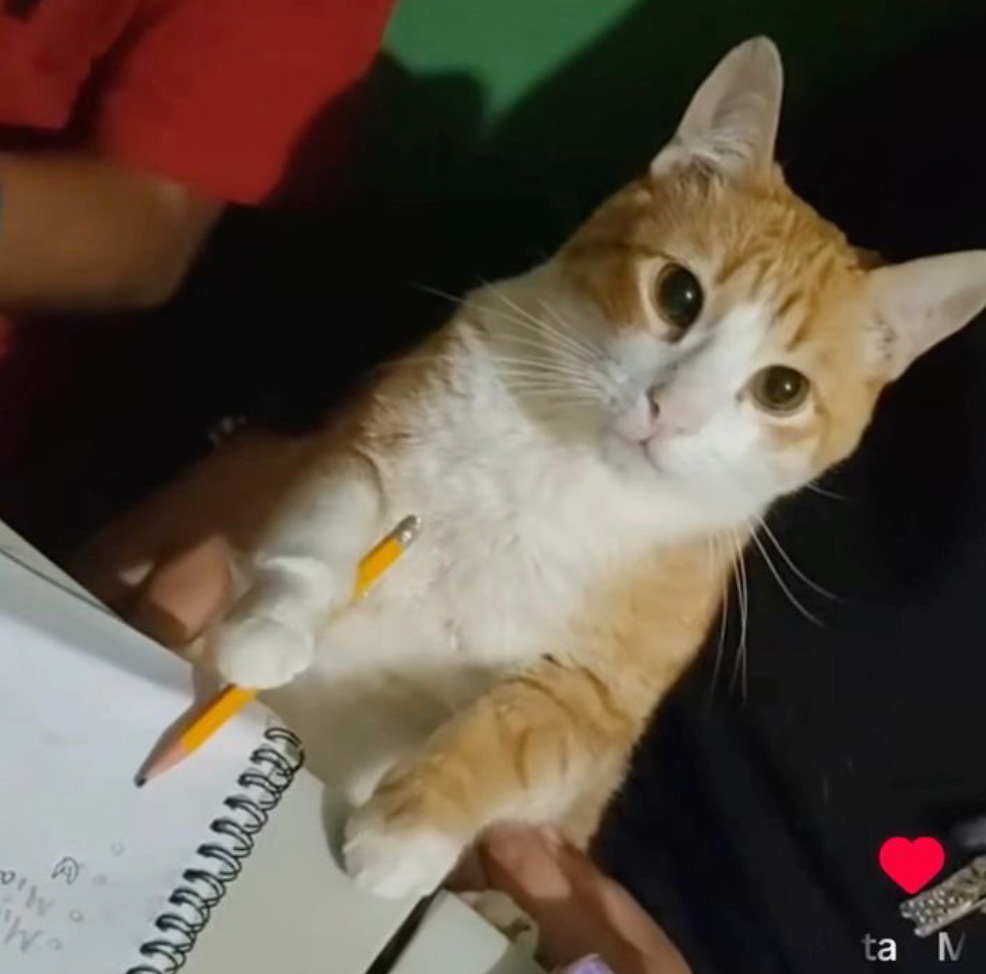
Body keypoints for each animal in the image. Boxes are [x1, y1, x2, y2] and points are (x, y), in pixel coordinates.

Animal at [74, 37, 986, 900]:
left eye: (782, 389)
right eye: (679, 296)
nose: (672, 409)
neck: (568, 470)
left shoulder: (597, 701)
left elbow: (516, 737)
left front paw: (409, 833)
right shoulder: (361, 452)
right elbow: (322, 533)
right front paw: (271, 626)